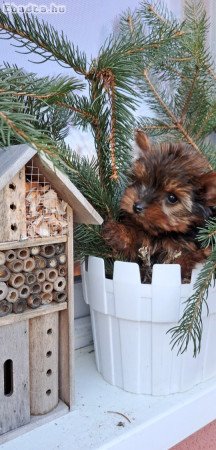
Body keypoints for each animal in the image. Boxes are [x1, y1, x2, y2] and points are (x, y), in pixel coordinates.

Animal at [103, 128, 216, 280]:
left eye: (172, 198)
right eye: (140, 181)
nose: (136, 207)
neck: (162, 234)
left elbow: (189, 256)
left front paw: (182, 266)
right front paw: (118, 232)